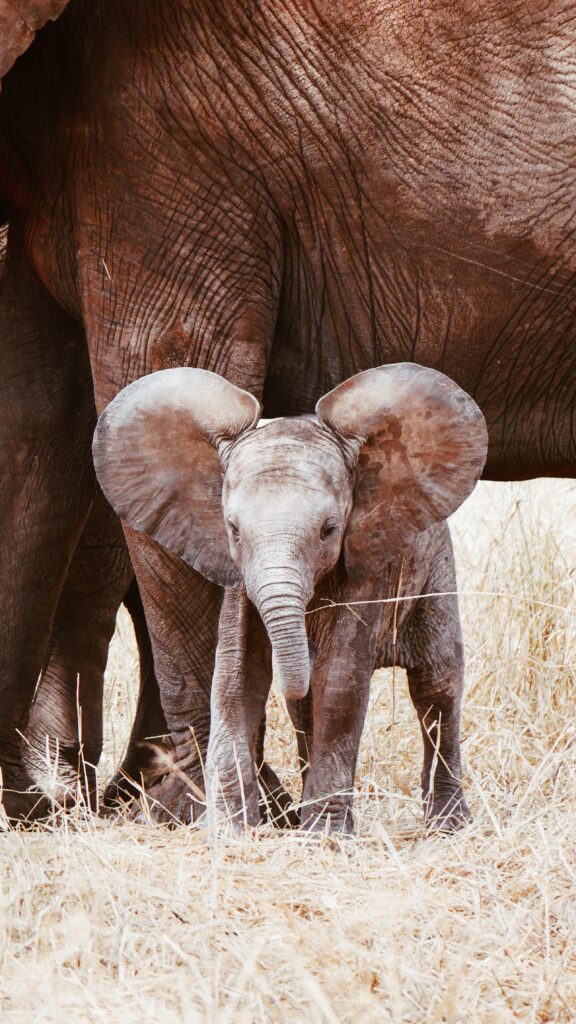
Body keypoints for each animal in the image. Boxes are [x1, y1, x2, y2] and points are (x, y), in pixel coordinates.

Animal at [93, 360, 483, 831]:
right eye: (233, 529)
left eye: (329, 529)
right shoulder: (239, 581)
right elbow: (234, 677)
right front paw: (233, 832)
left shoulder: (367, 562)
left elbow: (340, 679)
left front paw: (325, 836)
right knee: (307, 712)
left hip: (435, 568)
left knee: (437, 684)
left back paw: (448, 825)